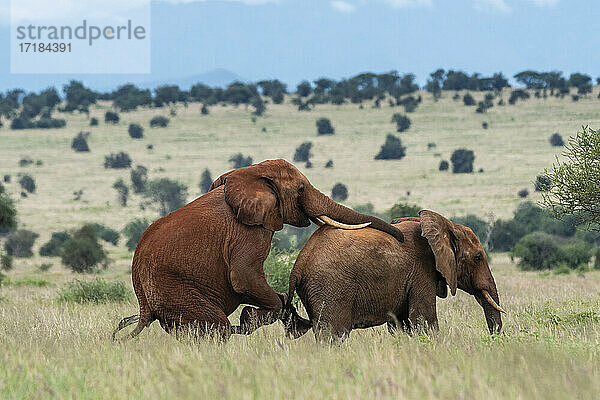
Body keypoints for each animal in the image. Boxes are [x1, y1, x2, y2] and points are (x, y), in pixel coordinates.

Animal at [112, 158, 404, 340]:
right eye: (300, 189)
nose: (400, 234)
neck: (251, 173)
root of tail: (143, 306)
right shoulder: (248, 232)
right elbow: (243, 276)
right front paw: (253, 320)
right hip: (177, 293)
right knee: (216, 328)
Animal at [286, 209, 506, 340]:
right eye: (478, 257)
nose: (494, 340)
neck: (447, 225)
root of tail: (299, 263)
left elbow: (401, 324)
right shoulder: (421, 271)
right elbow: (424, 319)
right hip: (330, 288)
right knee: (334, 335)